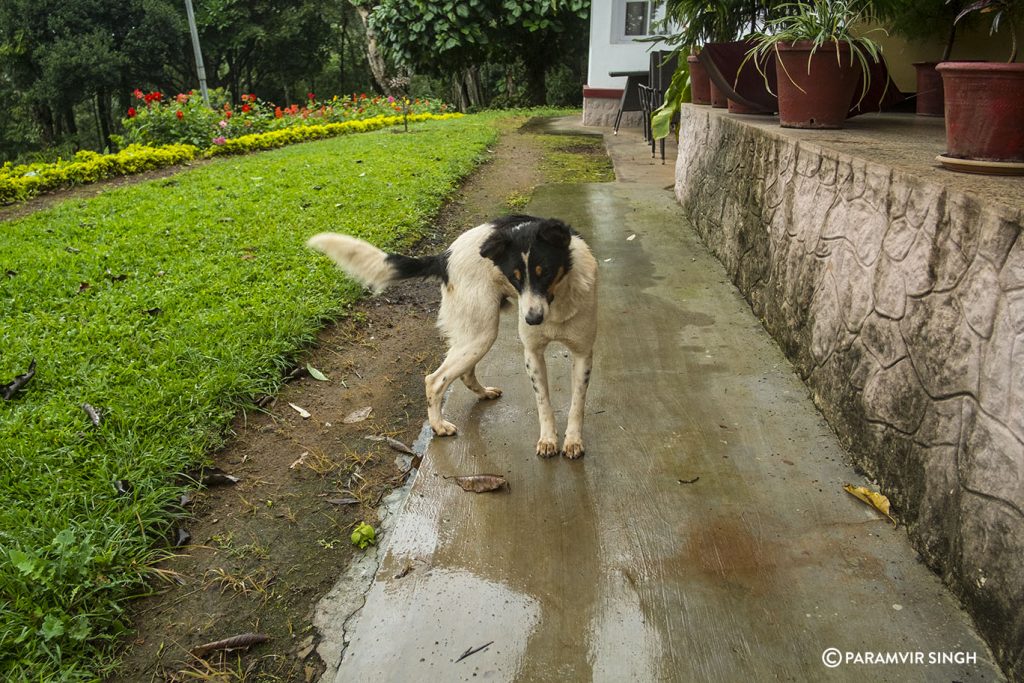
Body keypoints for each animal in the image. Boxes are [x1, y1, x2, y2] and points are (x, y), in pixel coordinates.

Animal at [309, 214, 598, 458]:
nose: (532, 320)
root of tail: (444, 257)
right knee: (435, 380)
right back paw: (438, 426)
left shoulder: (583, 353)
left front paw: (572, 440)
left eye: (545, 272)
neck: (556, 302)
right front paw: (548, 439)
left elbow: (577, 403)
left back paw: (483, 393)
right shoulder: (533, 353)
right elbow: (543, 402)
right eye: (514, 277)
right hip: (480, 332)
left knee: (465, 373)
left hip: (477, 334)